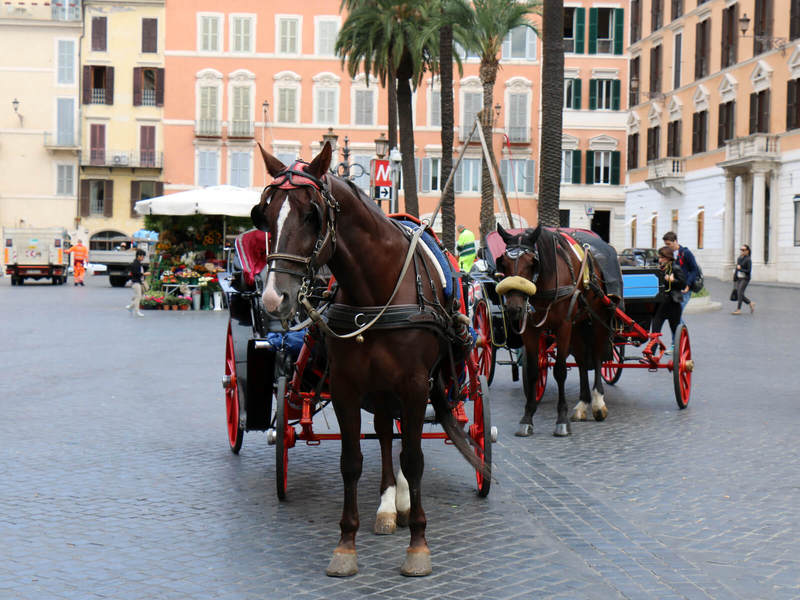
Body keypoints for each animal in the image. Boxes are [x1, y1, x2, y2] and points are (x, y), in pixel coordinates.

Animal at [250, 144, 488, 576]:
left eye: (312, 214)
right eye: (264, 213)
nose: (275, 298)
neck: (378, 289)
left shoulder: (415, 386)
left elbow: (414, 457)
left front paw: (418, 545)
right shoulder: (348, 386)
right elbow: (353, 461)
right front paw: (346, 544)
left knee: (404, 437)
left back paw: (404, 503)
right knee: (383, 433)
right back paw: (389, 505)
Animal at [494, 224, 620, 436]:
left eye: (532, 263)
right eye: (503, 263)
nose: (514, 309)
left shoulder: (563, 326)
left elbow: (560, 371)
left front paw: (561, 420)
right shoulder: (530, 329)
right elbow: (534, 371)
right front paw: (527, 418)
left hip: (596, 318)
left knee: (596, 354)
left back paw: (597, 402)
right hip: (578, 324)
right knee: (582, 360)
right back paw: (582, 404)